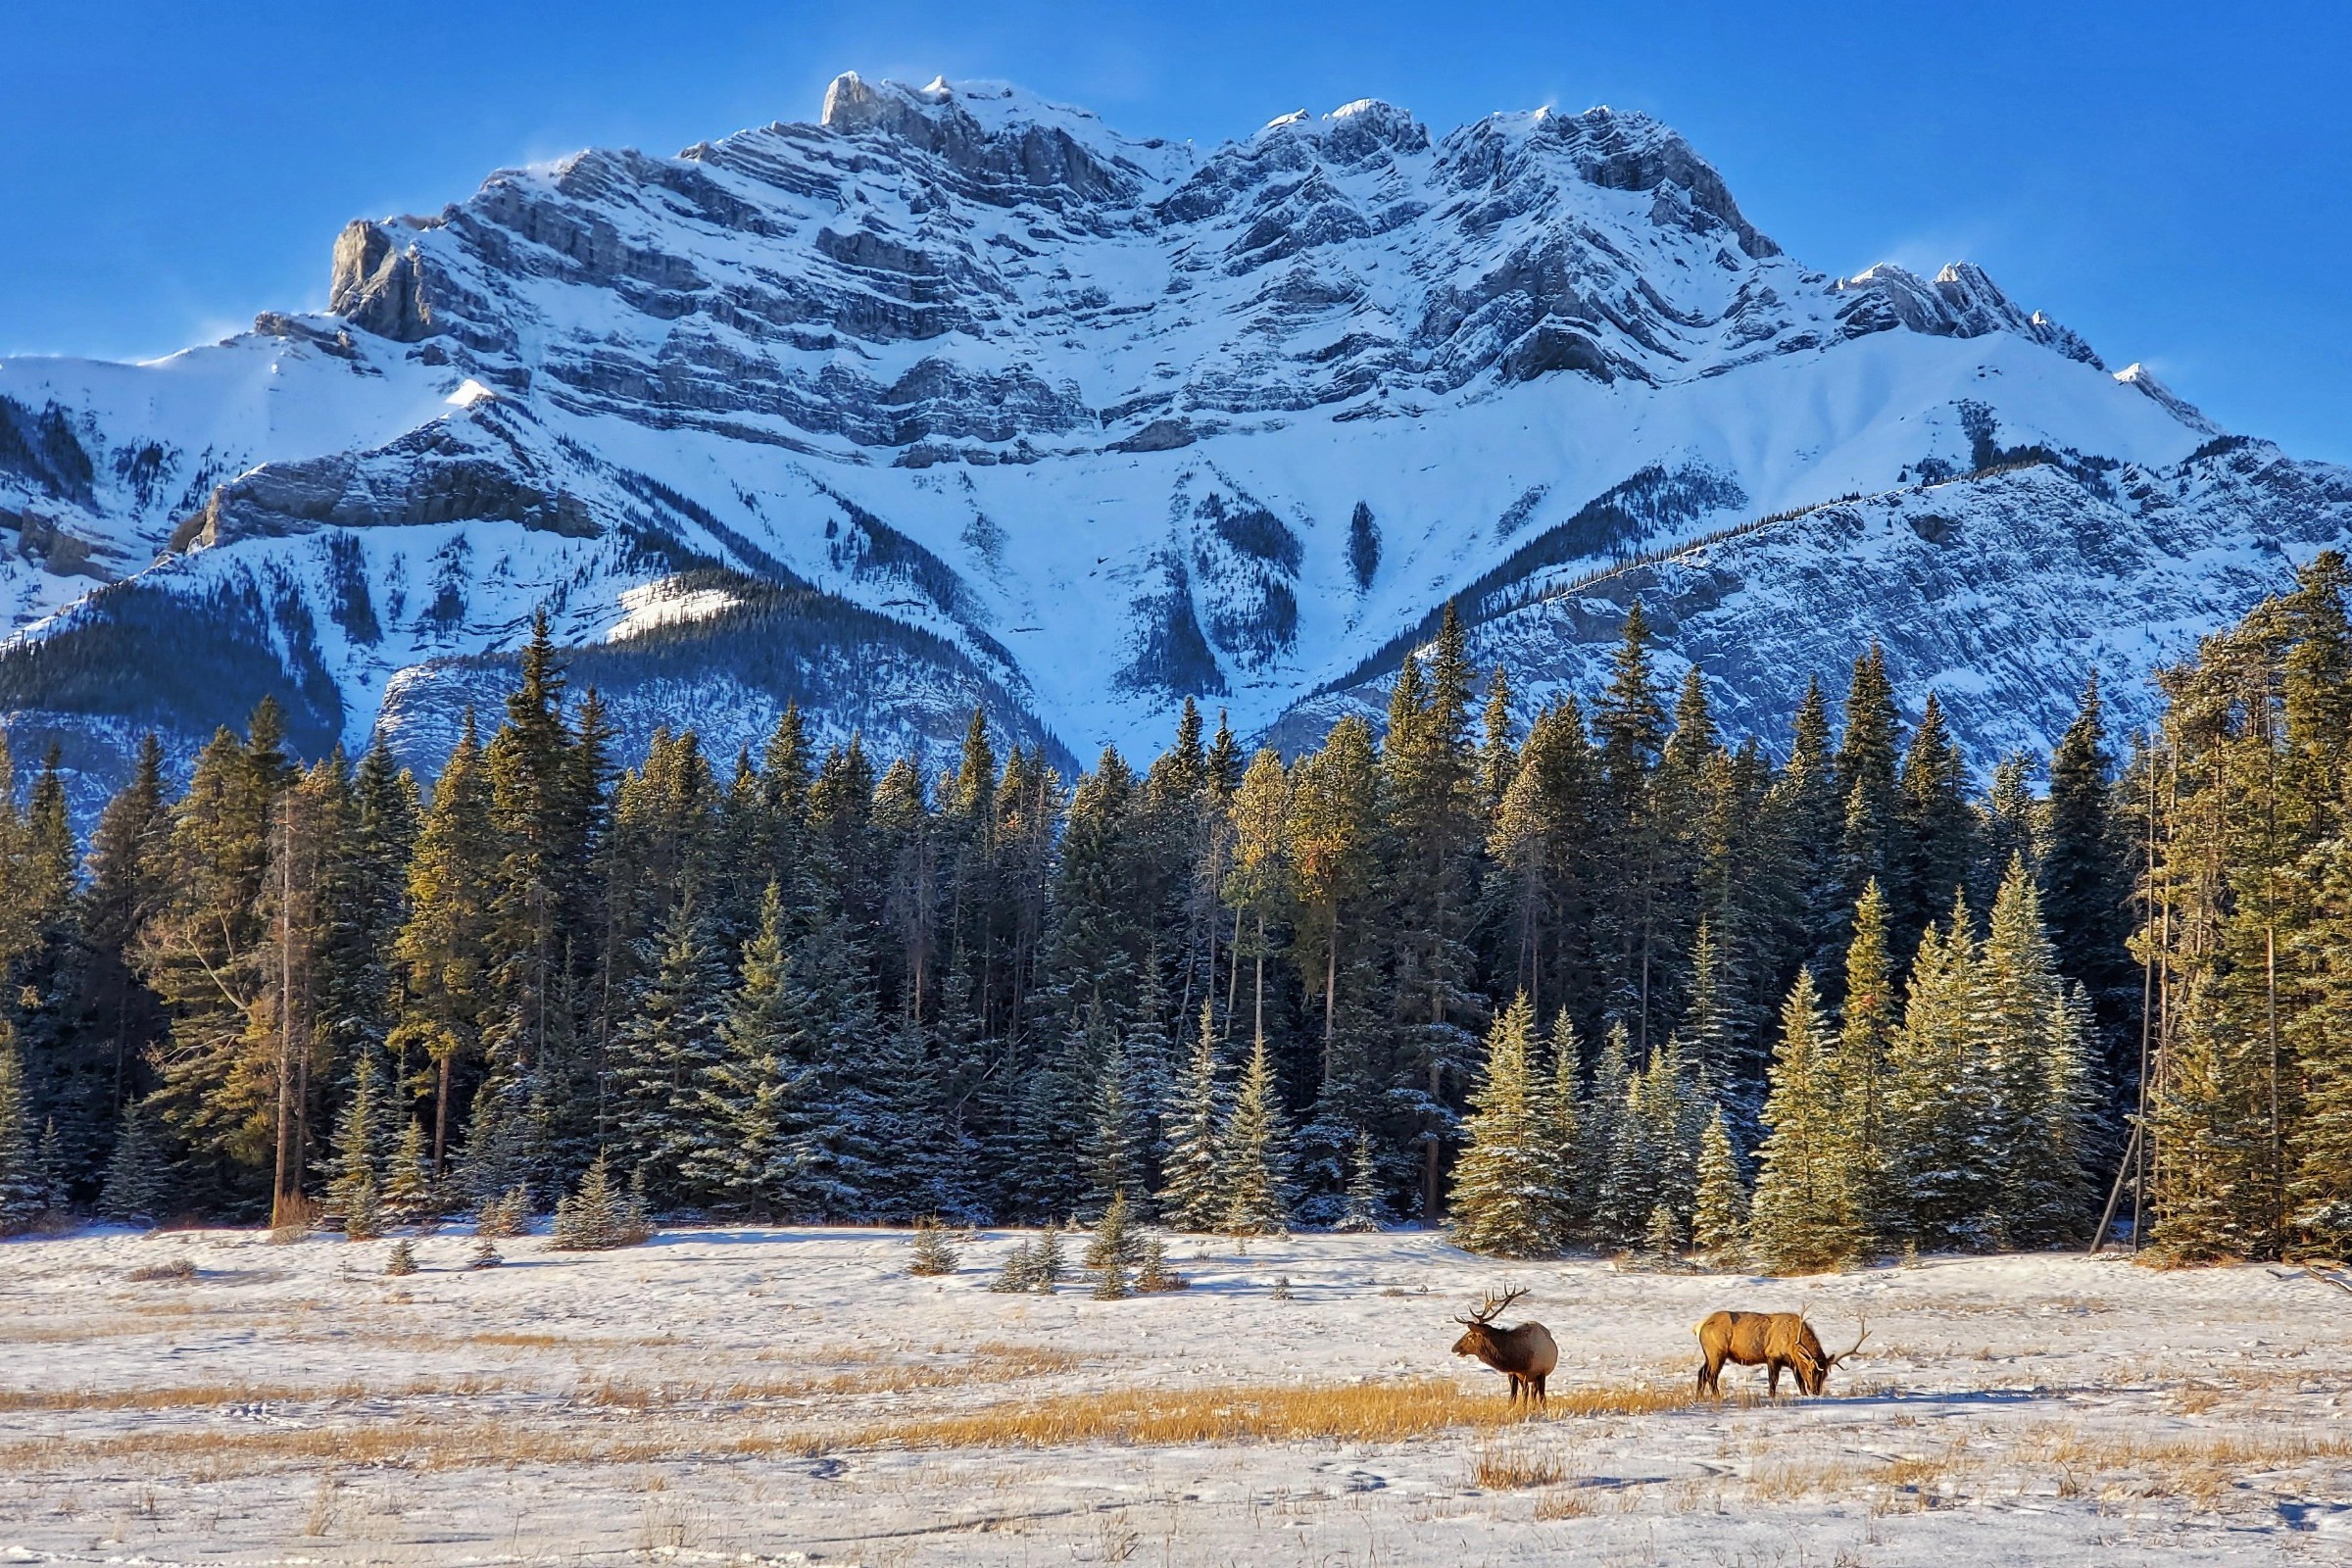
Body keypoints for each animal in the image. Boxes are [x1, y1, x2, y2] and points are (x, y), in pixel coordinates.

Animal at [1693, 1316, 1872, 1400]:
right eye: (1811, 1370)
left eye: (1825, 1374)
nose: (1816, 1391)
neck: (1792, 1344)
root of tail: (1698, 1327)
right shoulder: (1772, 1356)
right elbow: (1773, 1381)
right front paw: (1771, 1396)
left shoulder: (1793, 1363)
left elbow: (1800, 1383)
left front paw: (1804, 1395)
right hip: (1717, 1352)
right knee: (1711, 1375)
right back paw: (1717, 1396)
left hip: (1710, 1354)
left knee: (1701, 1372)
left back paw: (1699, 1396)